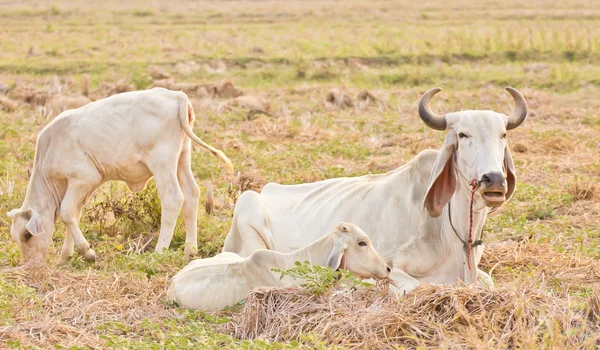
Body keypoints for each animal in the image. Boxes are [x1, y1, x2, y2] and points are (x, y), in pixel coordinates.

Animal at [7, 88, 232, 266]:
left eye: (27, 235)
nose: (30, 265)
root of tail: (177, 95)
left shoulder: (83, 179)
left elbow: (67, 212)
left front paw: (87, 252)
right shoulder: (84, 188)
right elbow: (74, 215)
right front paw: (65, 257)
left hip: (163, 163)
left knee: (173, 200)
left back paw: (159, 251)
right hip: (182, 158)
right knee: (192, 195)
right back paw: (190, 251)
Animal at [223, 87, 528, 296]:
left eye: (503, 135)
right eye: (463, 135)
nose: (493, 179)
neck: (453, 233)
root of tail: (266, 190)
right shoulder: (391, 267)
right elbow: (412, 286)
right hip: (248, 217)